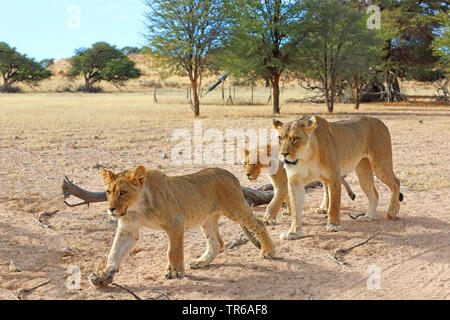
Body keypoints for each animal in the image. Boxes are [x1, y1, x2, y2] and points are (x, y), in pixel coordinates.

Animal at [89, 165, 274, 284]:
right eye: (108, 192)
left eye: (123, 192)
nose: (111, 209)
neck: (137, 208)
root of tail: (230, 174)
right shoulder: (128, 229)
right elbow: (114, 252)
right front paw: (103, 274)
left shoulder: (176, 222)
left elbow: (173, 251)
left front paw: (175, 272)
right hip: (207, 218)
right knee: (217, 242)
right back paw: (201, 262)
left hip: (235, 208)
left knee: (259, 224)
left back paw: (268, 251)